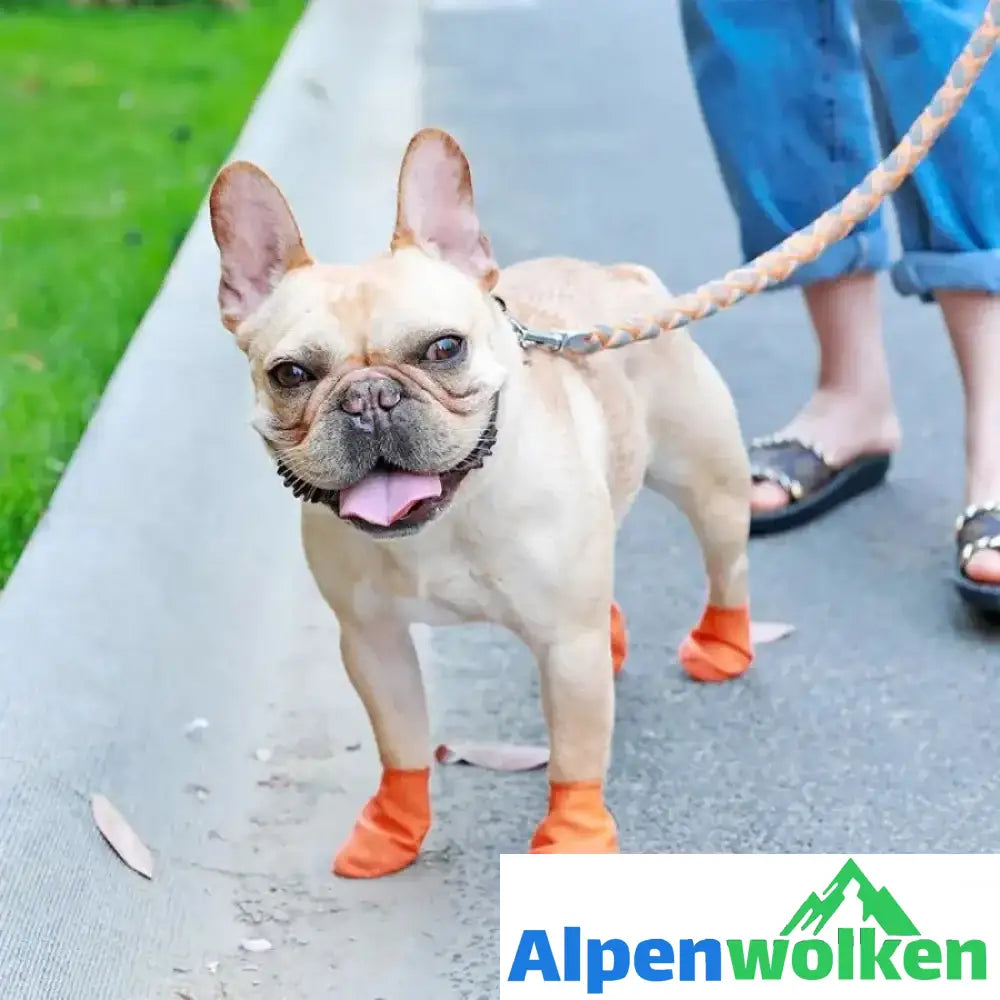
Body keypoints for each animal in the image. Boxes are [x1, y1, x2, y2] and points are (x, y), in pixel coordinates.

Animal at [209, 125, 752, 876]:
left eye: (444, 348)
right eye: (290, 373)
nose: (368, 397)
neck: (441, 521)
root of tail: (620, 274)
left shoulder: (566, 645)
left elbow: (575, 759)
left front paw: (574, 838)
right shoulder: (373, 643)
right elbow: (402, 745)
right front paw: (392, 831)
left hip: (709, 484)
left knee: (727, 562)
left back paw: (723, 645)